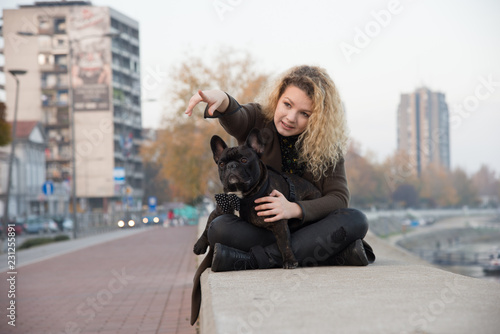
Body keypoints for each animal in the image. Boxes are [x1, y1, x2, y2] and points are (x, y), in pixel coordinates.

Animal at [192, 128, 320, 268]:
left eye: (244, 160)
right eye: (221, 164)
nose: (231, 165)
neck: (240, 197)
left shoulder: (278, 220)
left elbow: (284, 242)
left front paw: (289, 260)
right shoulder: (219, 209)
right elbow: (208, 225)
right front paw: (199, 244)